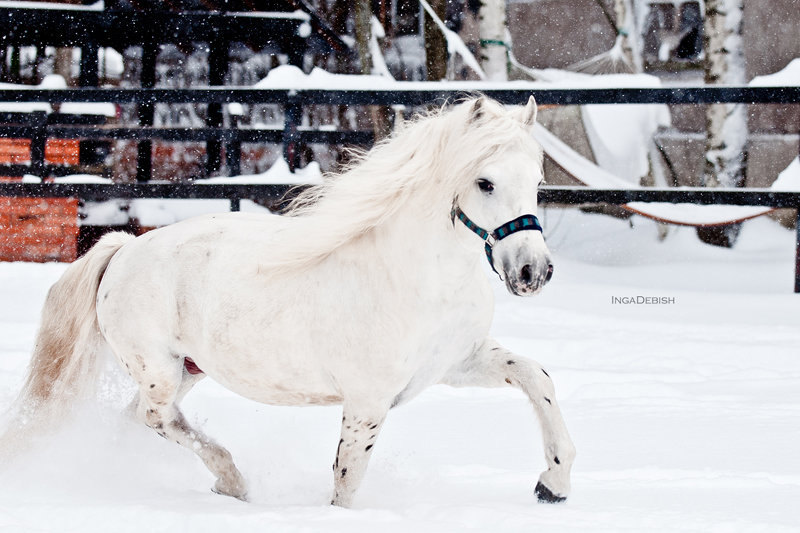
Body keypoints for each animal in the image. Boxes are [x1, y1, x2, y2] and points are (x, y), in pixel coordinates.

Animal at [10, 95, 576, 508]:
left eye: (538, 181)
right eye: (485, 182)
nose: (534, 272)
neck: (418, 279)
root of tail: (124, 248)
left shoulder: (459, 363)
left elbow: (538, 378)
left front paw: (553, 484)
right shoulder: (367, 401)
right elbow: (348, 480)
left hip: (187, 370)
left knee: (144, 419)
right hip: (159, 369)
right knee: (157, 419)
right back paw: (234, 482)